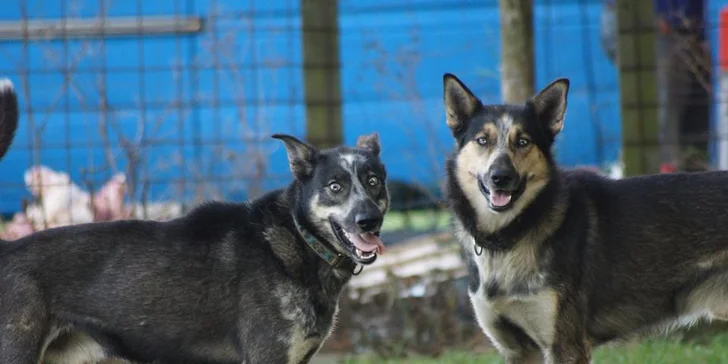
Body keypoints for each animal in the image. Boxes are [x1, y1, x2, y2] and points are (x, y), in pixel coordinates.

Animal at [0, 82, 390, 364]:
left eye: (373, 182)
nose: (368, 220)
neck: (296, 236)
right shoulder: (267, 357)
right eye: (335, 187)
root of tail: (6, 248)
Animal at [444, 72, 728, 362]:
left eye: (523, 141)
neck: (511, 236)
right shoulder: (516, 350)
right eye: (482, 140)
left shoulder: (565, 345)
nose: (500, 177)